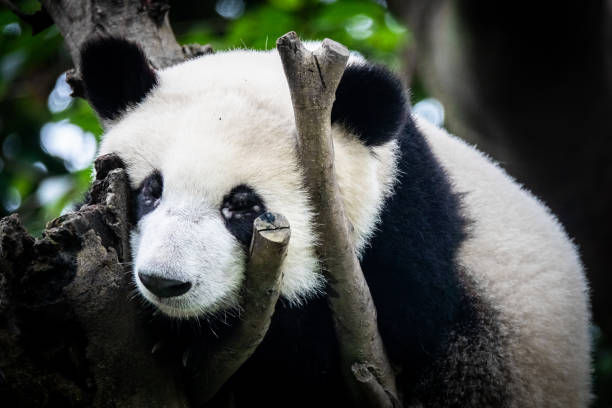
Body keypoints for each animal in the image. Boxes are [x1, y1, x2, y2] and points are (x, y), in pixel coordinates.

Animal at [79, 36, 592, 406]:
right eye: (151, 191)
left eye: (243, 207)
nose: (164, 283)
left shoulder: (405, 233)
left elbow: (380, 331)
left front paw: (185, 340)